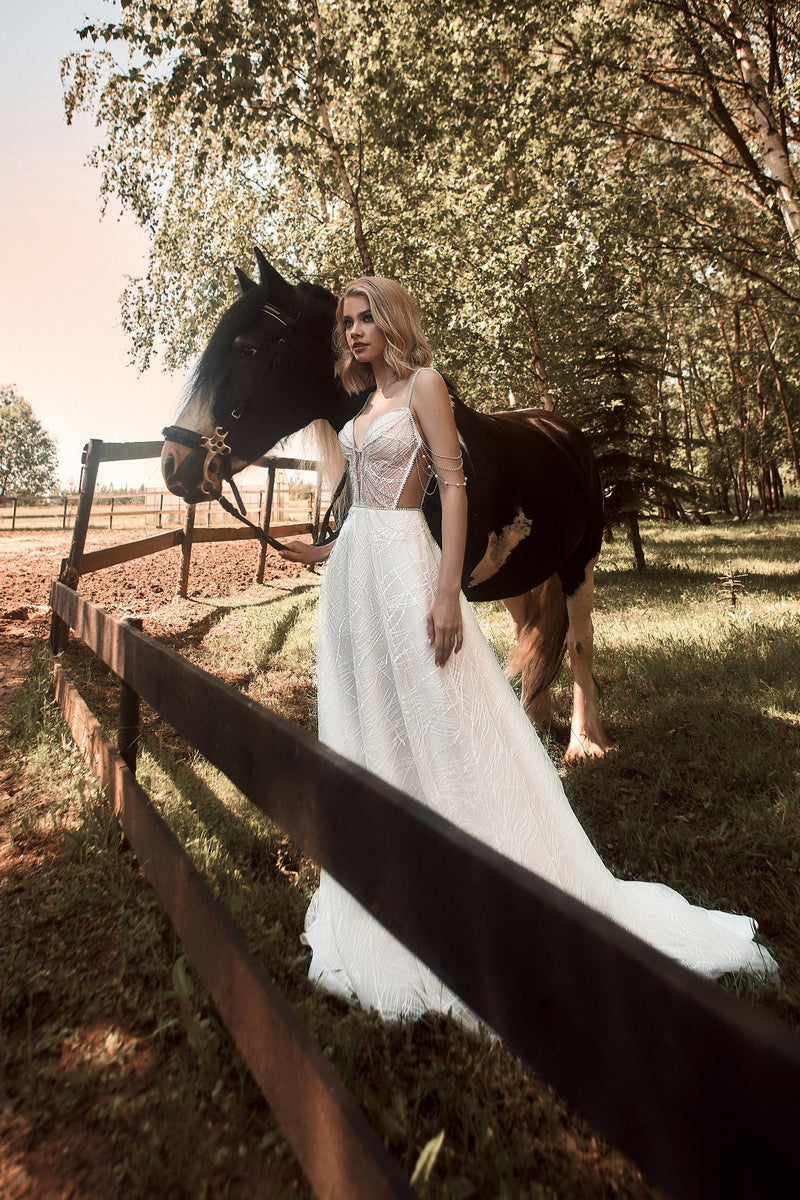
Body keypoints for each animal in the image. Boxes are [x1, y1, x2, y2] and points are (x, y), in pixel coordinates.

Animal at [163, 252, 614, 758]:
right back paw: (535, 720)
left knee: (580, 643)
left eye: (246, 350)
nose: (173, 461)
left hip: (580, 564)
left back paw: (586, 741)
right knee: (533, 634)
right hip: (519, 574)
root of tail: (561, 431)